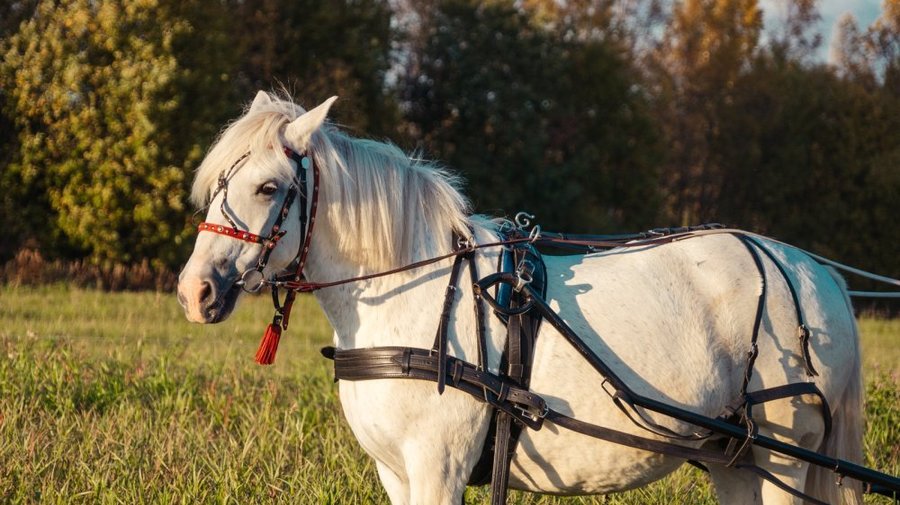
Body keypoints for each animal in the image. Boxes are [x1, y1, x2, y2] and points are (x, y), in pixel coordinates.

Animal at [177, 91, 864, 505]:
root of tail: (812, 272)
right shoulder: (395, 473)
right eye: (218, 185)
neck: (409, 294)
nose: (194, 291)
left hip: (786, 457)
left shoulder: (438, 468)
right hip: (736, 460)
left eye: (269, 187)